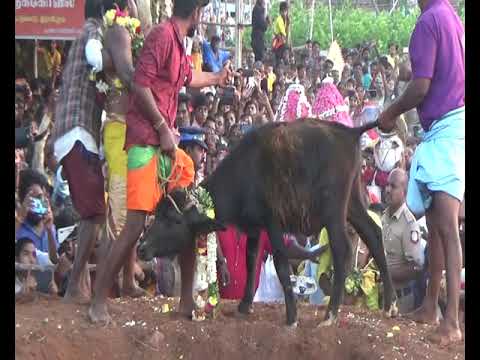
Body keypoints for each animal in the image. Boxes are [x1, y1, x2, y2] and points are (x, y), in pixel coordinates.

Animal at [137, 119, 396, 328]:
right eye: (157, 214)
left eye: (173, 219)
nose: (141, 248)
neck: (246, 174)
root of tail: (349, 132)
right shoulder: (255, 227)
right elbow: (251, 260)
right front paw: (245, 304)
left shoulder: (273, 224)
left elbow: (281, 264)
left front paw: (292, 316)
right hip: (353, 203)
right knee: (373, 233)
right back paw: (390, 304)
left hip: (334, 211)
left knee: (342, 248)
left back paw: (331, 314)